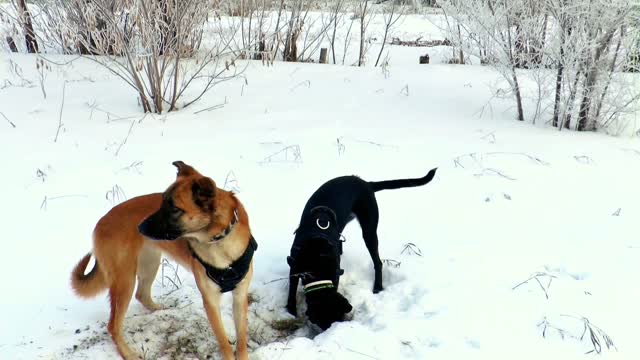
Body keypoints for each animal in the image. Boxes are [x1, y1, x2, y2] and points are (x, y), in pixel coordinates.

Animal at [70, 162, 258, 360]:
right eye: (161, 203)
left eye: (175, 208)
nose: (140, 227)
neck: (219, 240)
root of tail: (100, 223)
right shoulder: (210, 301)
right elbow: (223, 341)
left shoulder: (240, 296)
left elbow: (241, 337)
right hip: (125, 280)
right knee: (113, 326)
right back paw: (128, 353)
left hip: (150, 264)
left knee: (142, 294)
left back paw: (161, 310)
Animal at [288, 169, 438, 330]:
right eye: (322, 322)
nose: (331, 330)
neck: (316, 256)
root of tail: (365, 183)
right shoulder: (294, 267)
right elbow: (291, 291)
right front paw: (290, 311)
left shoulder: (335, 273)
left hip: (369, 228)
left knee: (378, 262)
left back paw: (377, 287)